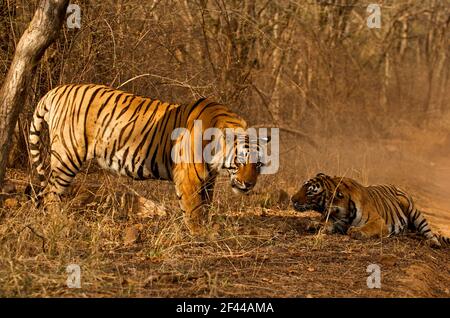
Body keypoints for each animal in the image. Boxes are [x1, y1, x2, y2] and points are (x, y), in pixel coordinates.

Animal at [29, 83, 270, 235]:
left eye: (257, 164)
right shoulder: (188, 178)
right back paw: (60, 222)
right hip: (68, 154)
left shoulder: (207, 180)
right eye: (240, 161)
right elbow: (194, 209)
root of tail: (56, 90)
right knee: (51, 191)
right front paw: (200, 233)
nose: (248, 184)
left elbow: (206, 204)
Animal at [290, 173, 448, 247]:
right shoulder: (336, 221)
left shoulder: (378, 221)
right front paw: (315, 225)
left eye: (310, 192)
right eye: (302, 186)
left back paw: (434, 243)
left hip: (414, 211)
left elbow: (368, 227)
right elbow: (325, 223)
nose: (292, 199)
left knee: (427, 230)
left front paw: (356, 231)